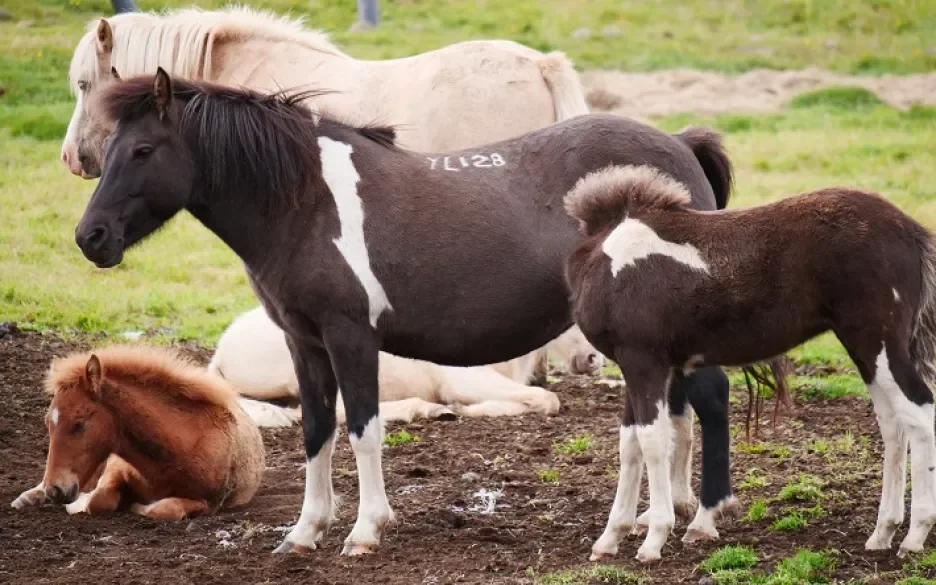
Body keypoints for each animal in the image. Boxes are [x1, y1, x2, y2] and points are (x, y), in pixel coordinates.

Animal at [11, 344, 266, 516]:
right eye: (48, 423)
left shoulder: (208, 502)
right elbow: (99, 501)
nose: (56, 490)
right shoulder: (114, 468)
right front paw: (79, 504)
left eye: (79, 424)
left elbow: (164, 510)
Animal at [207, 308, 604, 426]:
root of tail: (221, 353)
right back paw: (425, 409)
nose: (594, 360)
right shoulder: (466, 379)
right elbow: (545, 398)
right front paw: (462, 409)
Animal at [568, 165, 936, 560]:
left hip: (878, 343)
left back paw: (915, 535)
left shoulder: (644, 362)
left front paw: (654, 539)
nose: (584, 360)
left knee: (919, 413)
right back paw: (883, 532)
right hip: (866, 351)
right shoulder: (637, 366)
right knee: (893, 425)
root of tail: (908, 229)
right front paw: (610, 537)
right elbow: (630, 444)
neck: (606, 256)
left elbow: (652, 441)